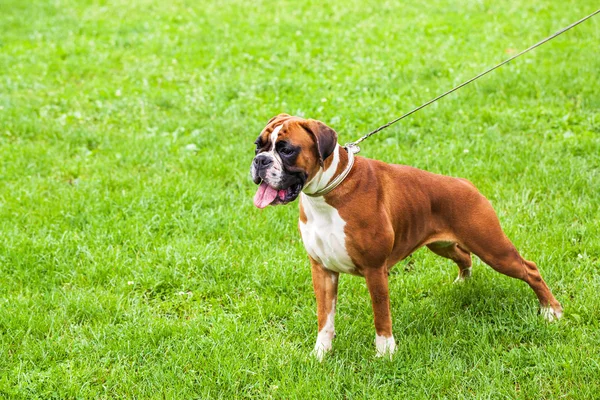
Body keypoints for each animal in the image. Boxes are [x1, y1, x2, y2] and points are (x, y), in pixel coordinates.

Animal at [248, 112, 564, 360]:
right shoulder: (322, 270)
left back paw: (552, 310)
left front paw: (385, 352)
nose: (261, 161)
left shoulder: (375, 270)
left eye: (287, 150)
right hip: (443, 245)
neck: (327, 192)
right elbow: (325, 318)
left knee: (530, 269)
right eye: (258, 146)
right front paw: (320, 354)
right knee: (464, 256)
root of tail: (465, 184)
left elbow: (381, 314)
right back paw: (463, 282)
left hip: (493, 249)